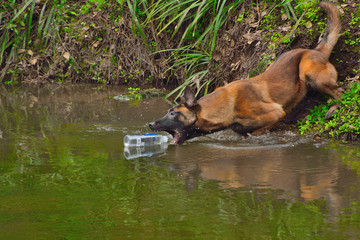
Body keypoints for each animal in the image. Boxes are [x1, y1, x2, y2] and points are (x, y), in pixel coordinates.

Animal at [149, 2, 344, 144]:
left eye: (173, 113)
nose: (150, 124)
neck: (227, 109)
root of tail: (316, 50)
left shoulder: (276, 113)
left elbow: (258, 132)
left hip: (308, 71)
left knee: (340, 92)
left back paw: (335, 108)